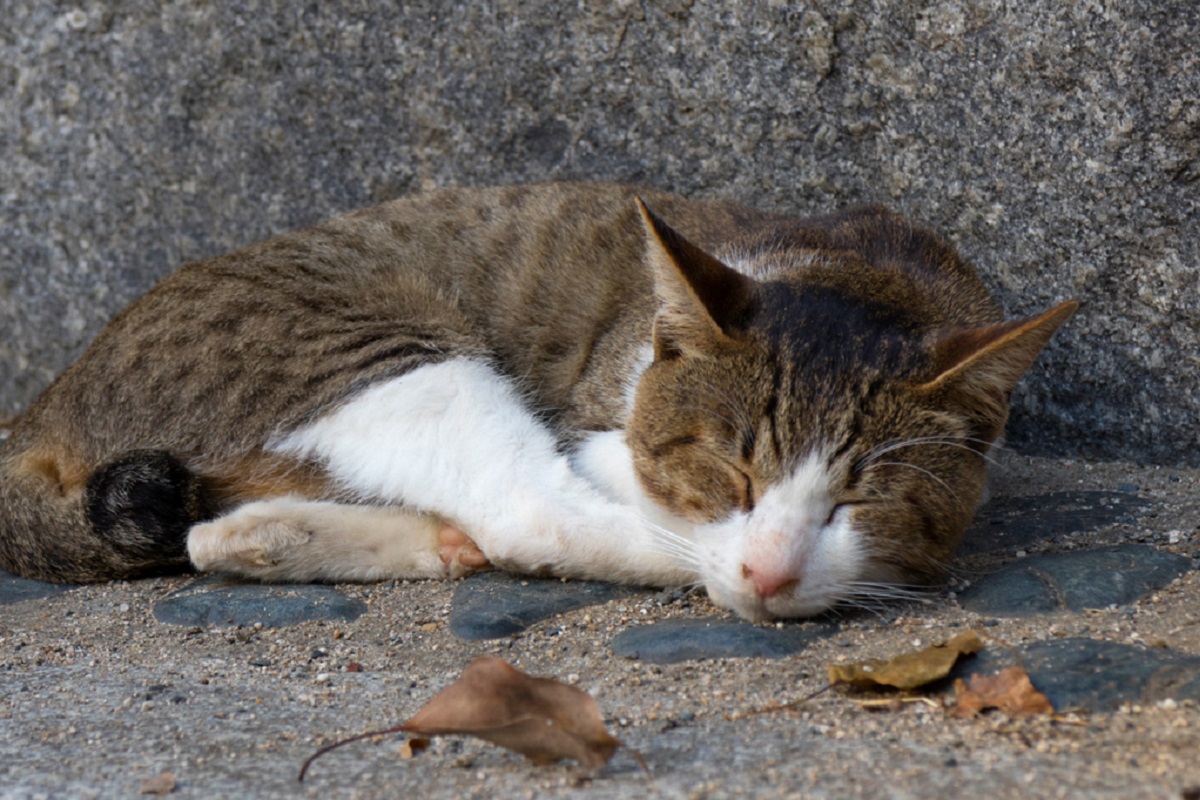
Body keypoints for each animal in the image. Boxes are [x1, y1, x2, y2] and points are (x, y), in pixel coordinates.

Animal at [0, 181, 1080, 618]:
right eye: (729, 467)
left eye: (860, 496)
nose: (770, 570)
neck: (861, 270)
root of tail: (45, 405)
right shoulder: (610, 428)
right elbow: (627, 488)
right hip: (380, 352)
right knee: (525, 514)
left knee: (209, 533)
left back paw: (283, 536)